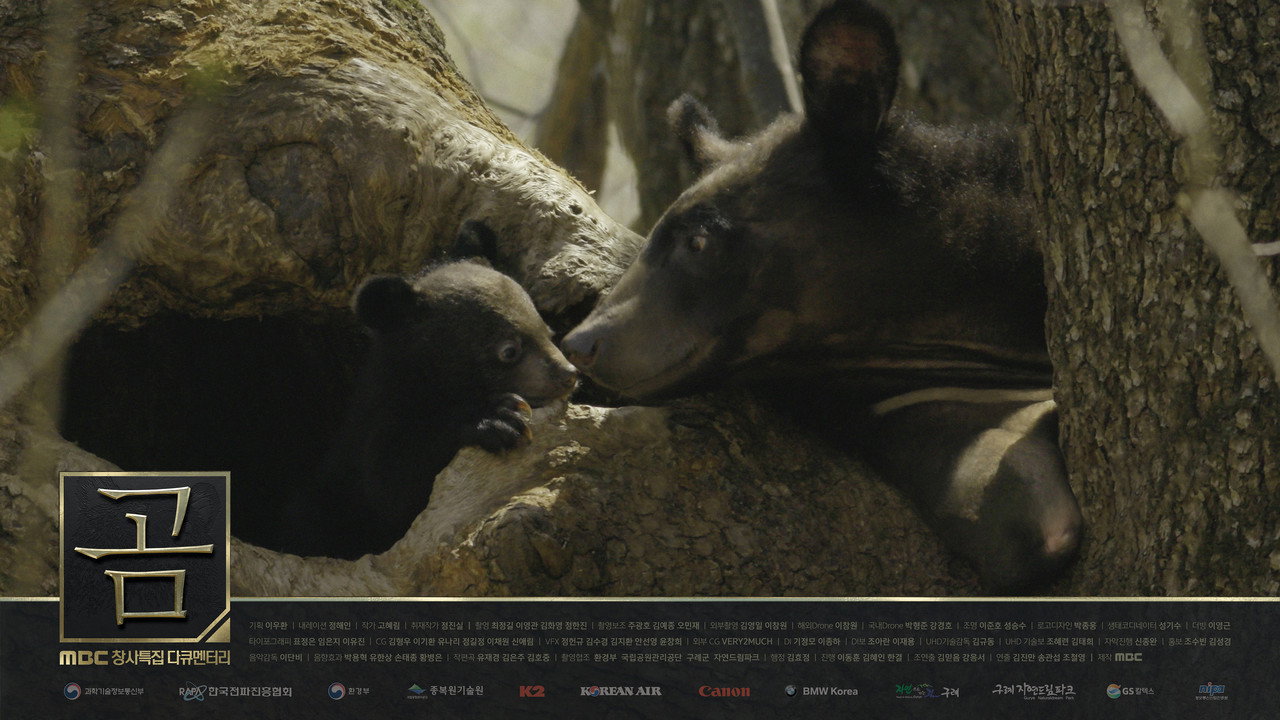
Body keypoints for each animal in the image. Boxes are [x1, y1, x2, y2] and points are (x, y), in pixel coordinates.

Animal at [278, 260, 578, 559]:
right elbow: (391, 488)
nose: (568, 374)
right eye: (509, 350)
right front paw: (498, 419)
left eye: (548, 332)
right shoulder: (373, 435)